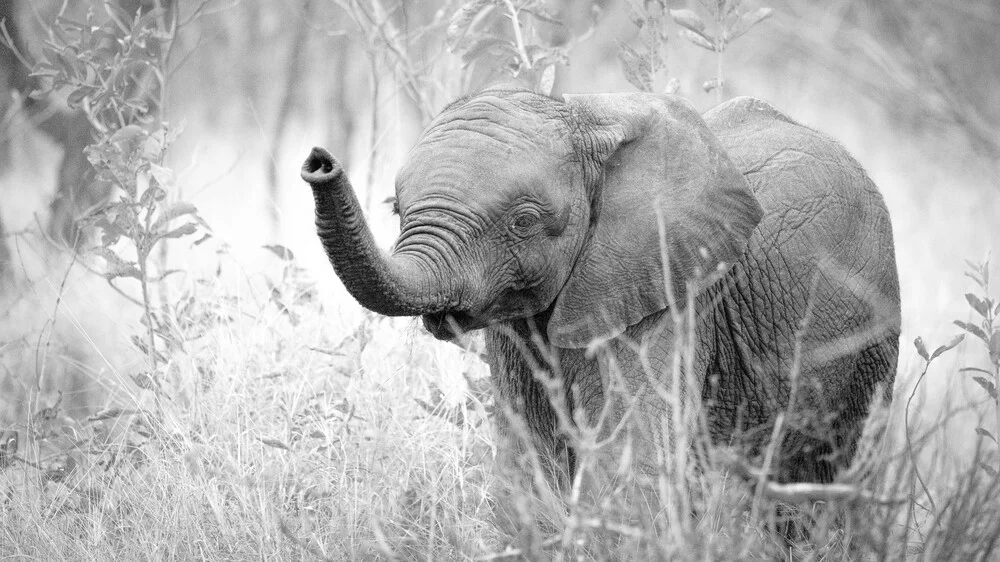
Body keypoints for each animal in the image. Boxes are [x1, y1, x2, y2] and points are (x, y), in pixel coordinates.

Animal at [300, 92, 904, 512]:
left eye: (523, 222)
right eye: (398, 210)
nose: (318, 160)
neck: (585, 116)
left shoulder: (668, 287)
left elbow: (629, 460)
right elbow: (530, 460)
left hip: (872, 333)